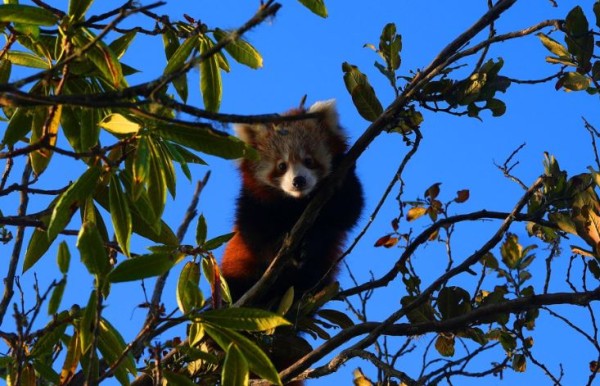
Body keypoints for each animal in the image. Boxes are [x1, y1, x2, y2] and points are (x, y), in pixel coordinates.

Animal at [219, 100, 364, 308]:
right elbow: (253, 232)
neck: (297, 202)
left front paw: (310, 242)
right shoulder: (253, 199)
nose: (298, 181)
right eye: (282, 166)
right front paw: (280, 245)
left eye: (309, 161)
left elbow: (346, 214)